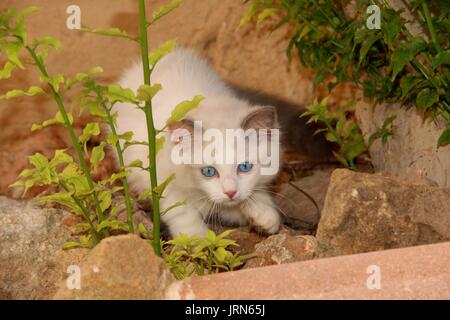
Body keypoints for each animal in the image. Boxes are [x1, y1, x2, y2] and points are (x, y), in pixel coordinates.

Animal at [112, 48, 280, 238]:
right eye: (208, 171)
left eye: (245, 167)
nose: (230, 192)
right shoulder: (163, 185)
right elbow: (184, 215)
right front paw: (198, 239)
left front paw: (264, 214)